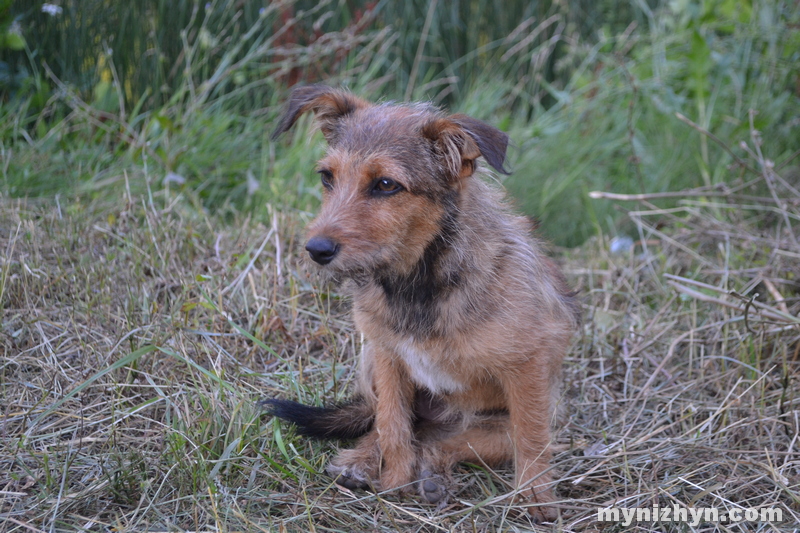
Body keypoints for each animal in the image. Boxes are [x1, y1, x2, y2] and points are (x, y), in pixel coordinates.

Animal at [266, 85, 580, 520]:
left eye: (385, 184)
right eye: (327, 177)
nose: (316, 250)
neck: (418, 283)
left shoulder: (528, 366)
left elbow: (531, 437)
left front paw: (535, 498)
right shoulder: (387, 355)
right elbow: (393, 424)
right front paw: (394, 484)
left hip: (522, 415)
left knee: (453, 440)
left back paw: (432, 472)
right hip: (369, 361)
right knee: (395, 424)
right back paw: (362, 462)